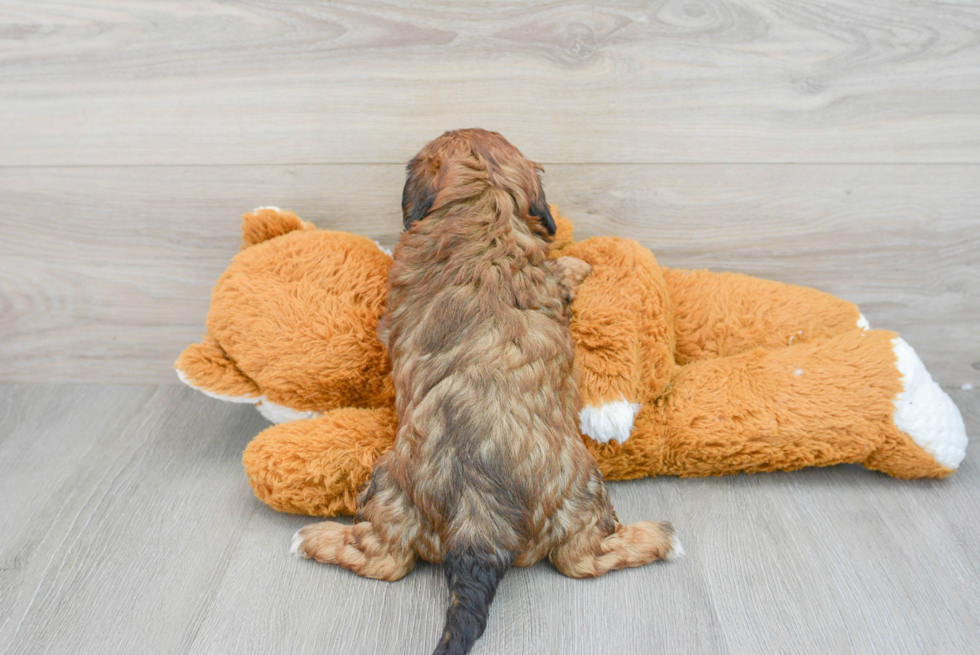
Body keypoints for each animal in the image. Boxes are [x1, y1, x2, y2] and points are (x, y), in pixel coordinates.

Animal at [290, 129, 680, 655]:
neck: (483, 208)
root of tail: (479, 521)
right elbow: (560, 270)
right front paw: (578, 263)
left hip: (388, 485)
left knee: (386, 560)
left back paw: (315, 539)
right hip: (583, 492)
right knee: (582, 559)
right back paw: (657, 536)